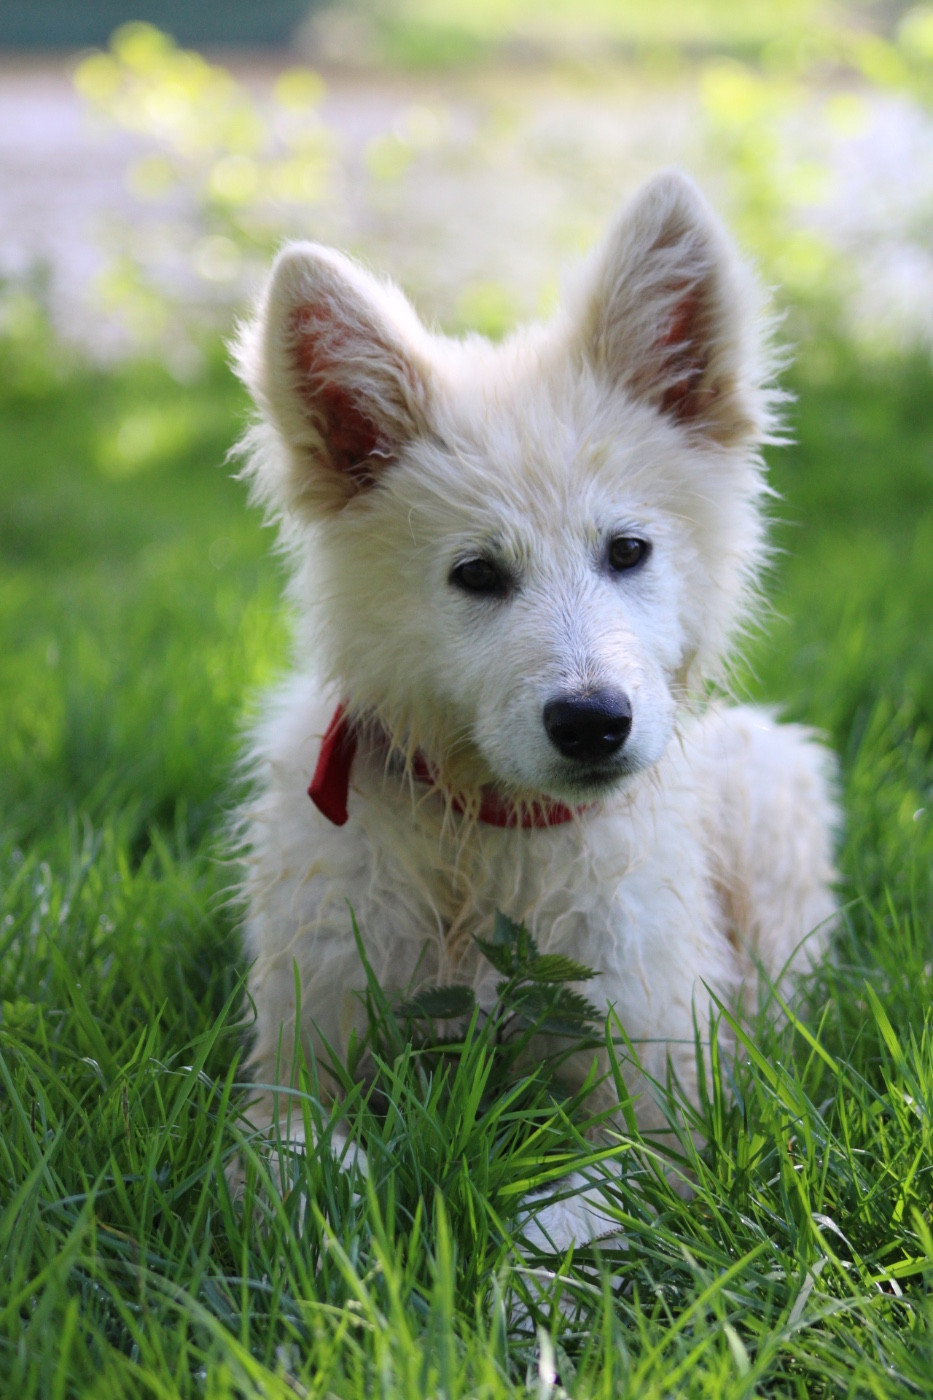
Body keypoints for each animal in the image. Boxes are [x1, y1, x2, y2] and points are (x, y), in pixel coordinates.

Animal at [233, 170, 837, 1243]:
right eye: (475, 574)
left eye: (627, 551)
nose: (593, 723)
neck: (487, 840)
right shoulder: (294, 1069)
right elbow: (313, 1178)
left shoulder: (665, 1100)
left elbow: (569, 1212)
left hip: (770, 795)